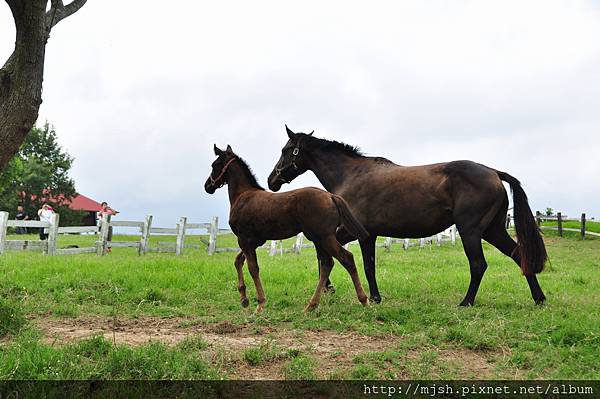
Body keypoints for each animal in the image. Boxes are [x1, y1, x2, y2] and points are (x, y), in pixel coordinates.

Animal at [206, 145, 370, 314]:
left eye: (214, 165)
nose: (207, 186)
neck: (243, 195)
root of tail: (331, 197)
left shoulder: (244, 238)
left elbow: (253, 268)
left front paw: (260, 303)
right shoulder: (255, 240)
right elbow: (238, 261)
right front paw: (244, 299)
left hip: (325, 237)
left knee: (346, 258)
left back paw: (363, 300)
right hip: (319, 239)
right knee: (327, 264)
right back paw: (311, 305)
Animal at [268, 126, 548, 308]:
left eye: (286, 150)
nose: (272, 180)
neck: (351, 175)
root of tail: (493, 172)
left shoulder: (351, 231)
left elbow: (328, 253)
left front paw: (330, 288)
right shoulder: (368, 235)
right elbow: (368, 265)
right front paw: (375, 298)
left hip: (471, 231)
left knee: (479, 265)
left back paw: (466, 302)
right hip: (493, 230)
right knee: (519, 255)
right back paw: (539, 298)